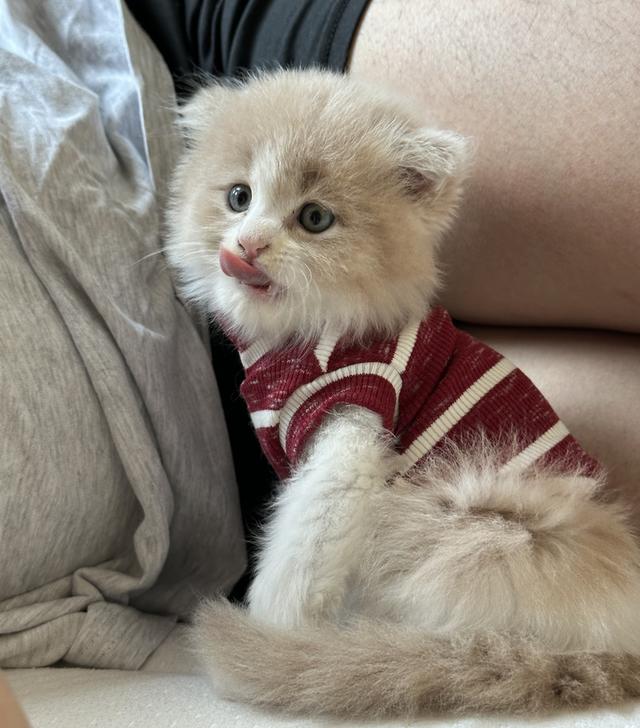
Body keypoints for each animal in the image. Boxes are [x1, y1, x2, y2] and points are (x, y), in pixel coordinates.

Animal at [168, 71, 640, 720]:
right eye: (238, 197)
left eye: (314, 218)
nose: (249, 245)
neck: (303, 336)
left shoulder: (349, 439)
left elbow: (299, 552)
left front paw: (272, 633)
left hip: (471, 524)